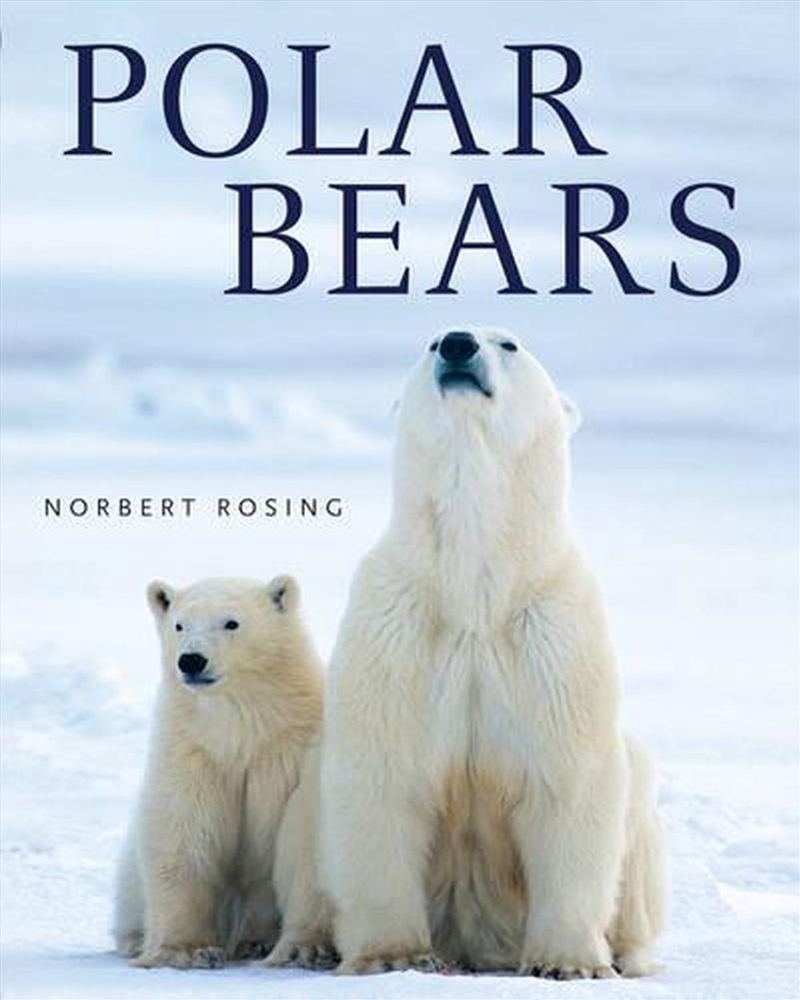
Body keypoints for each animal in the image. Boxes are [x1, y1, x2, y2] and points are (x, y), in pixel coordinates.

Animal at [112, 574, 333, 970]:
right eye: (179, 625)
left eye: (232, 623)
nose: (191, 660)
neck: (240, 732)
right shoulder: (194, 753)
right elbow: (182, 832)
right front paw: (184, 950)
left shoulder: (291, 754)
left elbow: (301, 842)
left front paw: (304, 947)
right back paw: (135, 940)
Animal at [320, 328, 666, 978]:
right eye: (431, 341)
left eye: (508, 343)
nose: (458, 344)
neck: (476, 590)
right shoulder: (399, 631)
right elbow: (382, 777)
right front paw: (394, 956)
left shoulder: (550, 636)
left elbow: (569, 780)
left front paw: (568, 963)